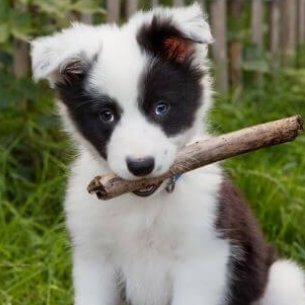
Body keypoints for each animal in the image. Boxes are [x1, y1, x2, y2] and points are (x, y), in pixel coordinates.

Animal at [30, 2, 304, 304]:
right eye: (106, 115)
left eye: (161, 108)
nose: (141, 166)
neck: (144, 206)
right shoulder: (94, 260)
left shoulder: (202, 258)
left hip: (284, 280)